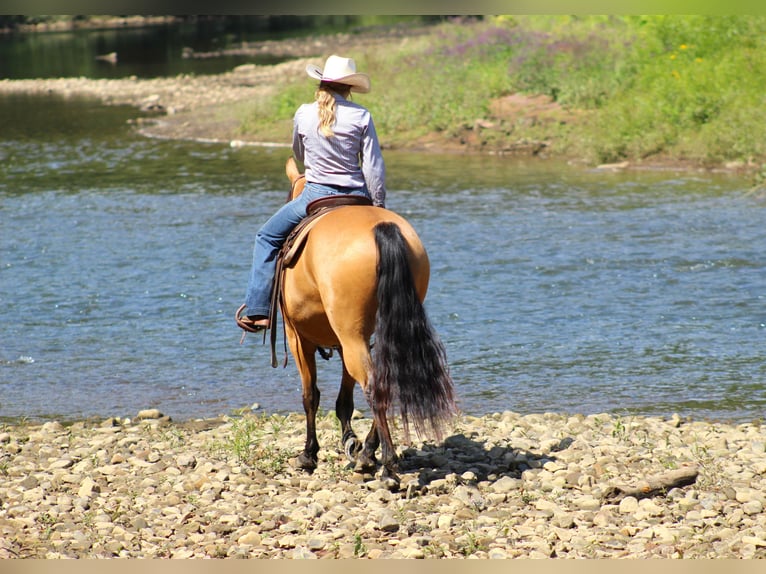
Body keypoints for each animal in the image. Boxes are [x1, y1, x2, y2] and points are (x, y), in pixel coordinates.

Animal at [252, 156, 460, 482]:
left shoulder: (298, 337)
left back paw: (386, 466)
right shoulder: (343, 340)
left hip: (349, 336)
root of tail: (381, 228)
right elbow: (344, 400)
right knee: (384, 384)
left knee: (373, 388)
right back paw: (371, 454)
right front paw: (351, 441)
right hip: (365, 334)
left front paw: (309, 454)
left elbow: (310, 395)